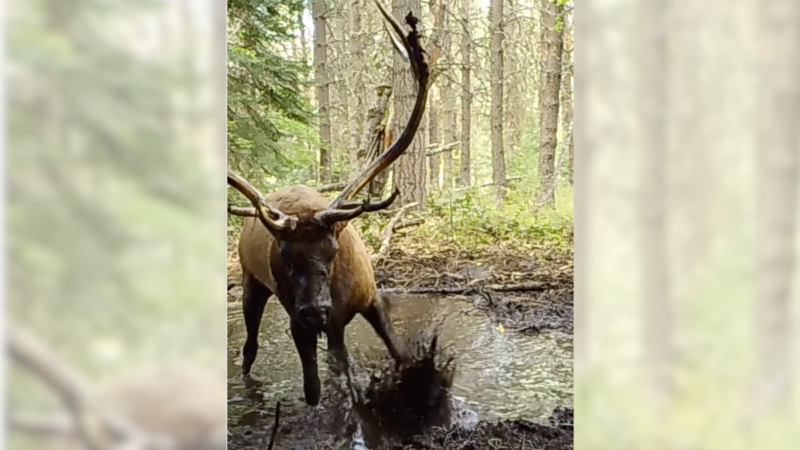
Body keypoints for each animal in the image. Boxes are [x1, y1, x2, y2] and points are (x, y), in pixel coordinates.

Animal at [227, 0, 432, 408]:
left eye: (333, 249)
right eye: (285, 256)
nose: (314, 310)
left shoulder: (370, 298)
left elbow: (398, 354)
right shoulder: (297, 323)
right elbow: (313, 391)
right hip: (251, 283)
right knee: (250, 346)